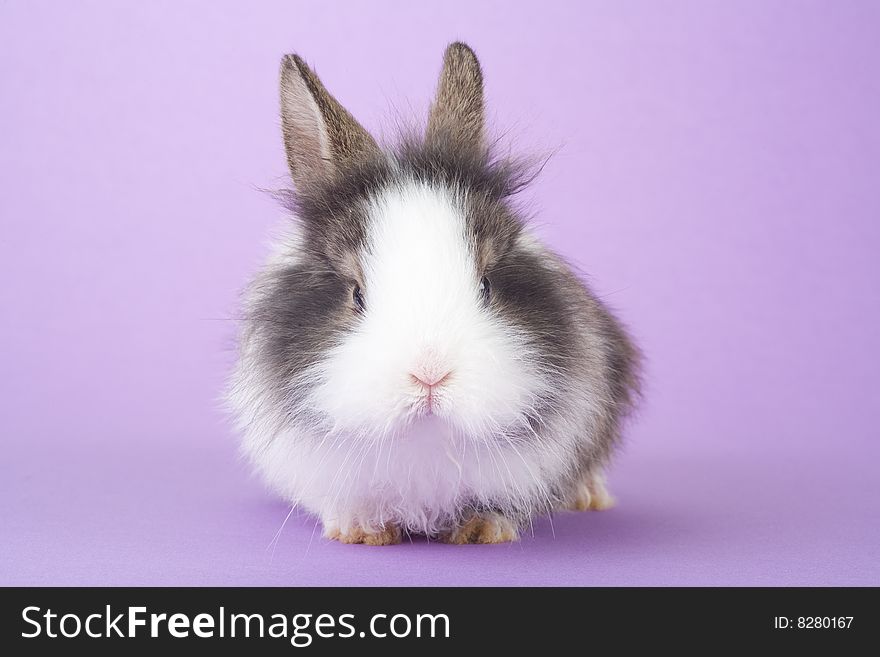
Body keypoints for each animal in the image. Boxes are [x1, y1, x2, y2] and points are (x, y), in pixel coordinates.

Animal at [227, 41, 640, 544]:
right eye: (356, 294)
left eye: (486, 284)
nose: (429, 376)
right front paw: (360, 530)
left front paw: (484, 528)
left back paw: (588, 496)